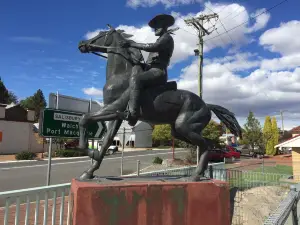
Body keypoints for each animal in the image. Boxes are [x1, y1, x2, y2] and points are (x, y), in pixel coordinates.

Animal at [77, 24, 241, 181]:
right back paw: (199, 173)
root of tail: (206, 105)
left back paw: (196, 175)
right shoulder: (116, 116)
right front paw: (89, 172)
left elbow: (85, 119)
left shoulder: (114, 108)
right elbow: (106, 141)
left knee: (205, 145)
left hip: (185, 127)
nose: (81, 44)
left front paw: (91, 153)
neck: (120, 76)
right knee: (207, 143)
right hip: (180, 131)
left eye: (101, 34)